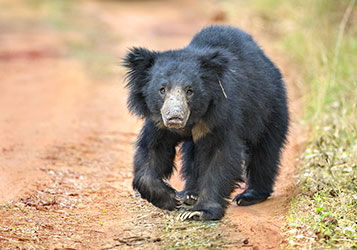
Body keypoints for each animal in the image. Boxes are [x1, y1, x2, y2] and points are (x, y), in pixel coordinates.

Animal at [122, 25, 290, 221]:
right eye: (162, 90)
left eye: (190, 91)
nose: (174, 117)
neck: (193, 119)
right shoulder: (159, 121)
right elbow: (152, 150)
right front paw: (170, 198)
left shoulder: (219, 116)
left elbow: (219, 158)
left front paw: (198, 211)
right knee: (191, 156)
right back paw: (189, 194)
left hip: (269, 109)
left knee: (264, 151)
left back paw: (250, 195)